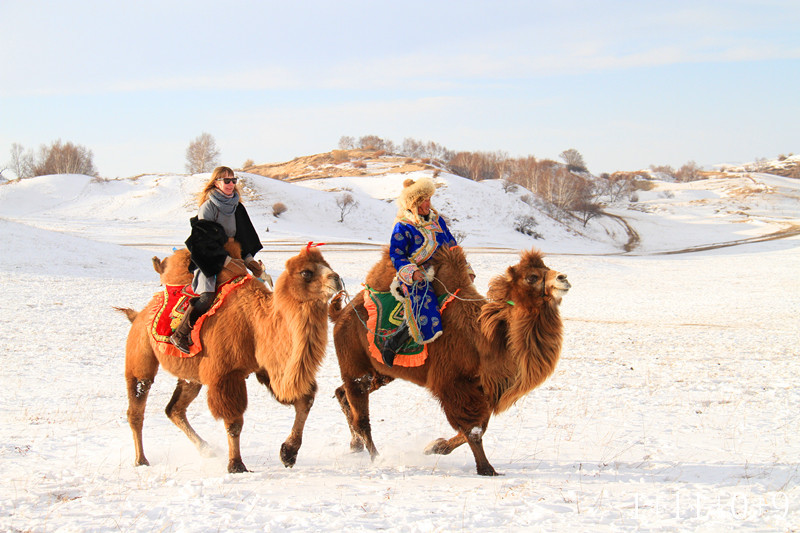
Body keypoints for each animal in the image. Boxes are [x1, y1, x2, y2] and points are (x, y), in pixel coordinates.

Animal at [118, 243, 340, 472]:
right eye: (306, 273)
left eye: (327, 264)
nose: (336, 278)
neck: (256, 322)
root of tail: (138, 315)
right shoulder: (226, 374)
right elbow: (234, 422)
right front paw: (236, 465)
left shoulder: (268, 368)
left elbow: (305, 400)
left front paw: (288, 453)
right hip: (140, 357)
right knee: (136, 407)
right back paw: (141, 460)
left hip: (192, 377)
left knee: (174, 409)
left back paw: (206, 449)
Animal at [328, 245, 572, 474]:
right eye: (531, 277)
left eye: (546, 268)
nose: (563, 278)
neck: (483, 337)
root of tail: (341, 314)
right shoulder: (453, 384)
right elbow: (473, 429)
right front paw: (486, 469)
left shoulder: (480, 388)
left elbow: (478, 426)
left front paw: (435, 446)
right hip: (355, 363)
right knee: (361, 414)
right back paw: (375, 457)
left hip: (381, 372)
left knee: (343, 393)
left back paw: (356, 445)